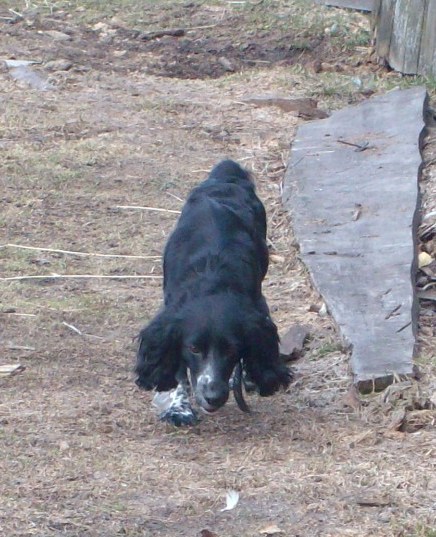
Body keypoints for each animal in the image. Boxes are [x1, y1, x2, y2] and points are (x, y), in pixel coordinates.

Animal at [135, 160, 291, 425]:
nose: (213, 397)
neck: (212, 281)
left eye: (232, 349)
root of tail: (226, 174)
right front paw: (179, 407)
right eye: (194, 349)